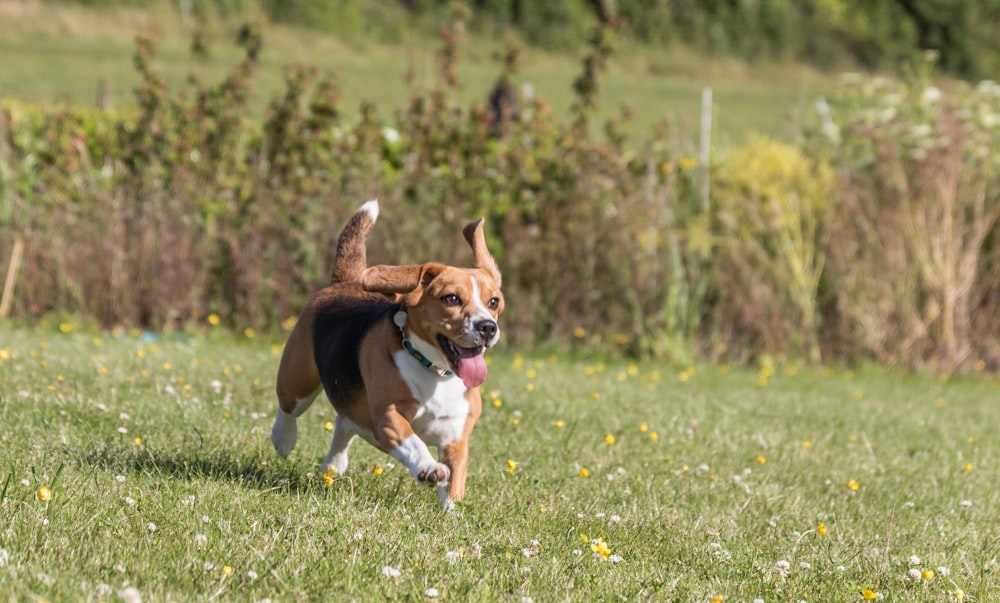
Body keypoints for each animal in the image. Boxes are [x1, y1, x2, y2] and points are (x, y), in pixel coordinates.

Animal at [270, 203, 504, 510]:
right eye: (451, 299)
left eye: (493, 302)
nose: (487, 327)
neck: (434, 371)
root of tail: (345, 281)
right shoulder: (388, 417)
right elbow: (414, 442)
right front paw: (429, 469)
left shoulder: (456, 435)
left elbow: (454, 481)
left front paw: (450, 513)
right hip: (299, 380)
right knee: (288, 407)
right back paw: (283, 439)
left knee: (345, 422)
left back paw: (334, 465)